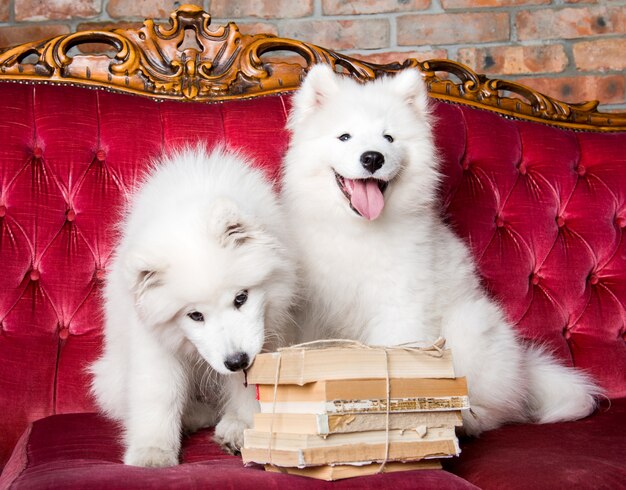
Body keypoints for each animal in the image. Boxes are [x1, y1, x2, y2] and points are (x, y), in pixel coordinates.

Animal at [89, 146, 296, 468]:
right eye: (195, 315)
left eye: (241, 298)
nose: (236, 361)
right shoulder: (154, 343)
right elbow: (159, 393)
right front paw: (152, 452)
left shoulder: (269, 332)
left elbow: (250, 390)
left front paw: (242, 428)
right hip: (110, 378)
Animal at [280, 63, 596, 434]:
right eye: (345, 137)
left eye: (389, 138)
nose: (373, 158)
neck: (356, 230)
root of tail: (523, 367)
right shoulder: (311, 316)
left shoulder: (401, 308)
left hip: (468, 326)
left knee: (495, 407)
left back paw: (467, 422)